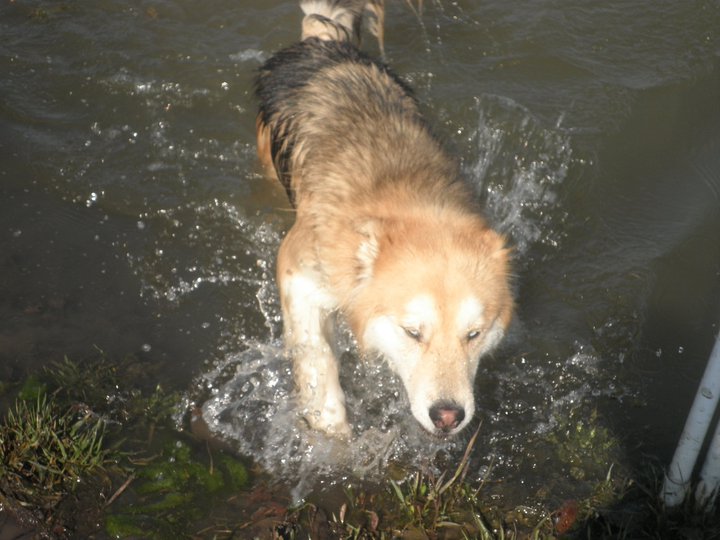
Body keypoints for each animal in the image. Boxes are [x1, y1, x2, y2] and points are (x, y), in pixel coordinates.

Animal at [253, 0, 512, 436]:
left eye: (474, 334)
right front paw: (332, 432)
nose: (448, 416)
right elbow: (316, 358)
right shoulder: (298, 268)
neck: (405, 197)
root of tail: (328, 44)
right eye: (412, 332)